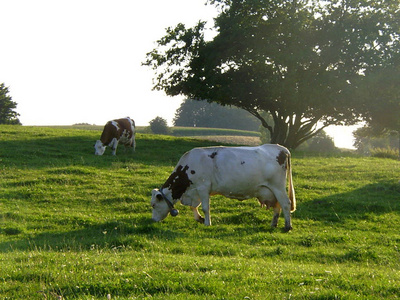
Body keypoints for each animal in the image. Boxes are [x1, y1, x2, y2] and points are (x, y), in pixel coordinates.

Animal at [152, 144, 296, 231]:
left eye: (153, 205)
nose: (153, 220)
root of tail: (281, 148)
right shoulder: (194, 192)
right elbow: (194, 207)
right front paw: (200, 219)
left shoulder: (203, 187)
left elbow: (205, 208)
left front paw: (207, 223)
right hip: (272, 190)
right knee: (277, 205)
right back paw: (273, 224)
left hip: (278, 187)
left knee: (285, 203)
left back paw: (287, 226)